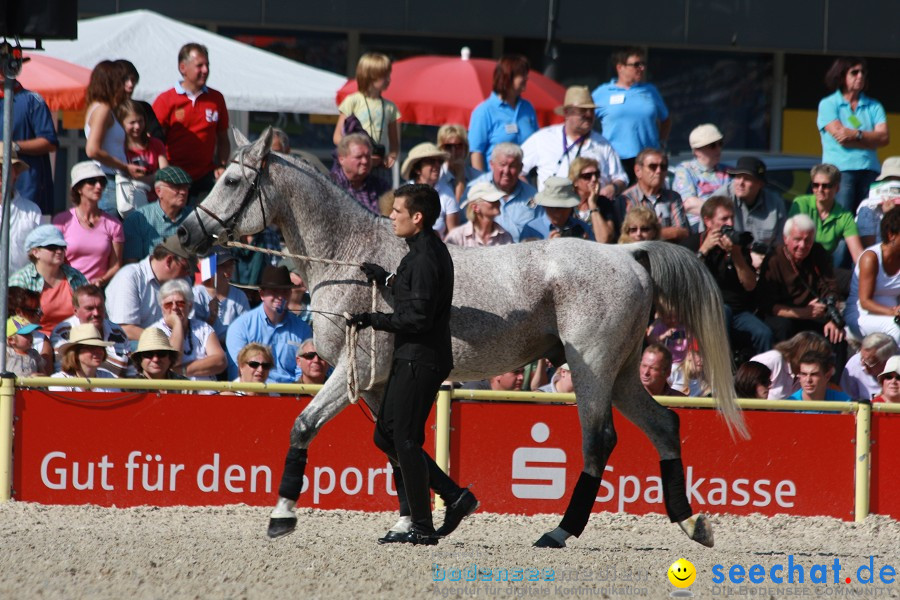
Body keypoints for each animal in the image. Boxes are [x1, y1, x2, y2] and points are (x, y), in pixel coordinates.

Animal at [176, 127, 744, 548]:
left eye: (231, 180)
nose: (183, 234)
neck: (349, 258)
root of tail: (629, 253)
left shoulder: (351, 371)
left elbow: (304, 426)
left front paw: (282, 515)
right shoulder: (380, 381)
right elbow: (395, 445)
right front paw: (422, 518)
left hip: (593, 369)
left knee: (599, 441)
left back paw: (560, 531)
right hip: (623, 373)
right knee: (664, 425)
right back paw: (692, 523)